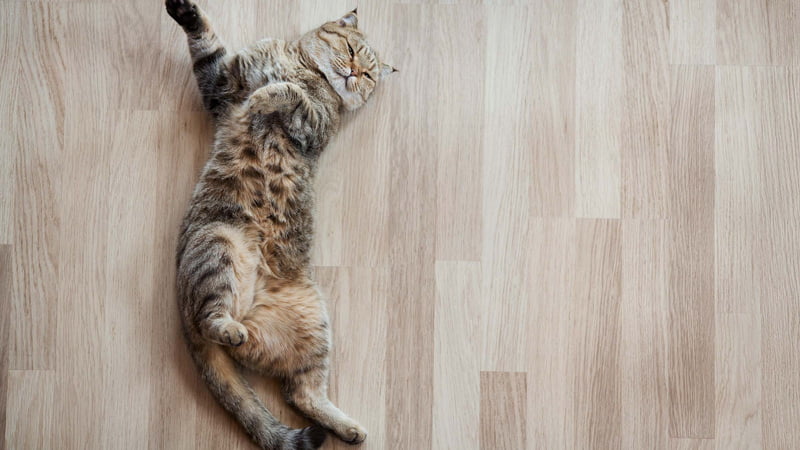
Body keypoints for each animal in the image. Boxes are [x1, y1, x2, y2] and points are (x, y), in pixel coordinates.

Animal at [167, 1, 396, 448]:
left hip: (311, 323)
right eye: (351, 51)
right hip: (219, 242)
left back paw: (347, 428)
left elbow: (288, 94)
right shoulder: (224, 80)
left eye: (369, 75)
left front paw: (268, 96)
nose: (354, 73)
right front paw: (184, 12)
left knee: (297, 391)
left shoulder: (313, 123)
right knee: (226, 332)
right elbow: (205, 42)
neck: (303, 66)